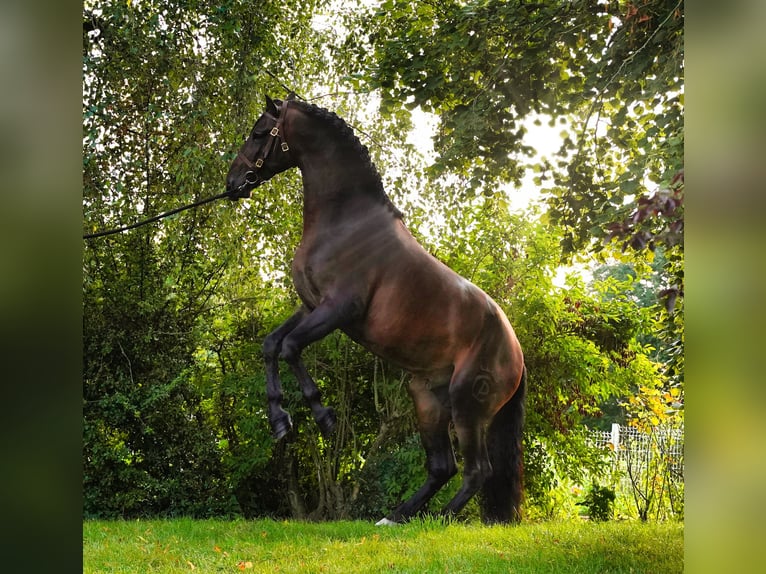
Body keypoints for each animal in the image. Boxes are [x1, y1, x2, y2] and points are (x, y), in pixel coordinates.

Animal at [225, 95, 532, 528]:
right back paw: (397, 517)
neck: (345, 222)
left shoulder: (338, 309)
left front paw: (323, 416)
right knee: (442, 467)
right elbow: (272, 345)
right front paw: (279, 420)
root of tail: (516, 353)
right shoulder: (311, 305)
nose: (232, 183)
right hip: (427, 399)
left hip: (467, 407)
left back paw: (439, 519)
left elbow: (290, 348)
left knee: (476, 472)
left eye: (257, 133)